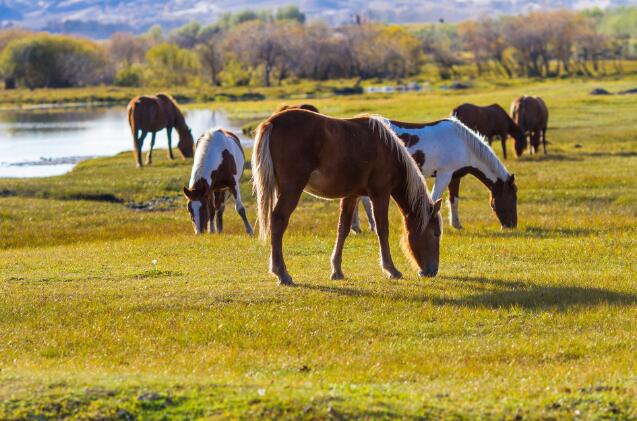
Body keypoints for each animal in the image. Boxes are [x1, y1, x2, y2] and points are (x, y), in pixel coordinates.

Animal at [252, 108, 442, 286]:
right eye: (435, 233)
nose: (432, 271)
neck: (387, 149)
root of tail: (272, 122)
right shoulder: (380, 193)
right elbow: (382, 229)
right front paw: (391, 269)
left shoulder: (351, 195)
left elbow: (343, 229)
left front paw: (337, 270)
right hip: (292, 189)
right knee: (278, 221)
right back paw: (282, 273)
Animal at [352, 116, 516, 230]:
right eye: (512, 198)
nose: (511, 225)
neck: (462, 143)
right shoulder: (444, 175)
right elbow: (434, 198)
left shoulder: (454, 177)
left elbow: (454, 200)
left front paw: (457, 224)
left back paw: (358, 227)